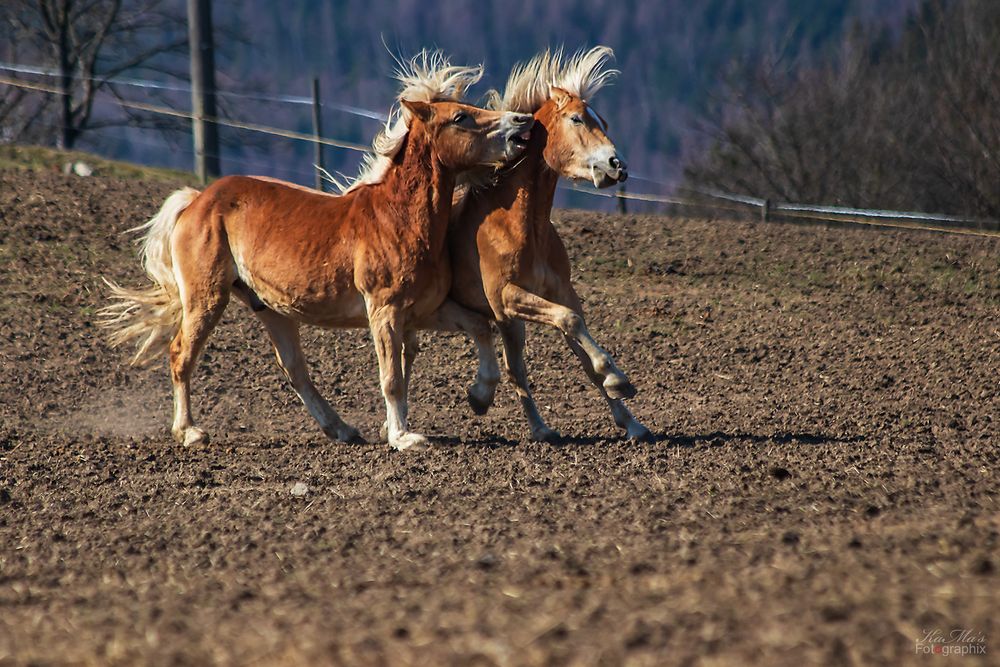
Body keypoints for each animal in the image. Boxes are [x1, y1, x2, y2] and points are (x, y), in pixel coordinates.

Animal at [103, 54, 532, 452]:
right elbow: (392, 378)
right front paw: (404, 437)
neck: (399, 217)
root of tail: (197, 200)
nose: (521, 124)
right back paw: (189, 431)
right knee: (181, 354)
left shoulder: (423, 310)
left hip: (271, 308)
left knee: (295, 370)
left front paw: (479, 397)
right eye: (461, 116)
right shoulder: (385, 311)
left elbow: (479, 326)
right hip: (206, 298)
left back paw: (342, 429)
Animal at [448, 48, 652, 444]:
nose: (617, 166)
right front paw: (617, 376)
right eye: (576, 118)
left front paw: (631, 420)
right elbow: (570, 324)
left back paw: (531, 423)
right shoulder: (506, 297)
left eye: (603, 121)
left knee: (511, 365)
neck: (522, 226)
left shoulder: (557, 294)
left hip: (506, 321)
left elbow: (581, 349)